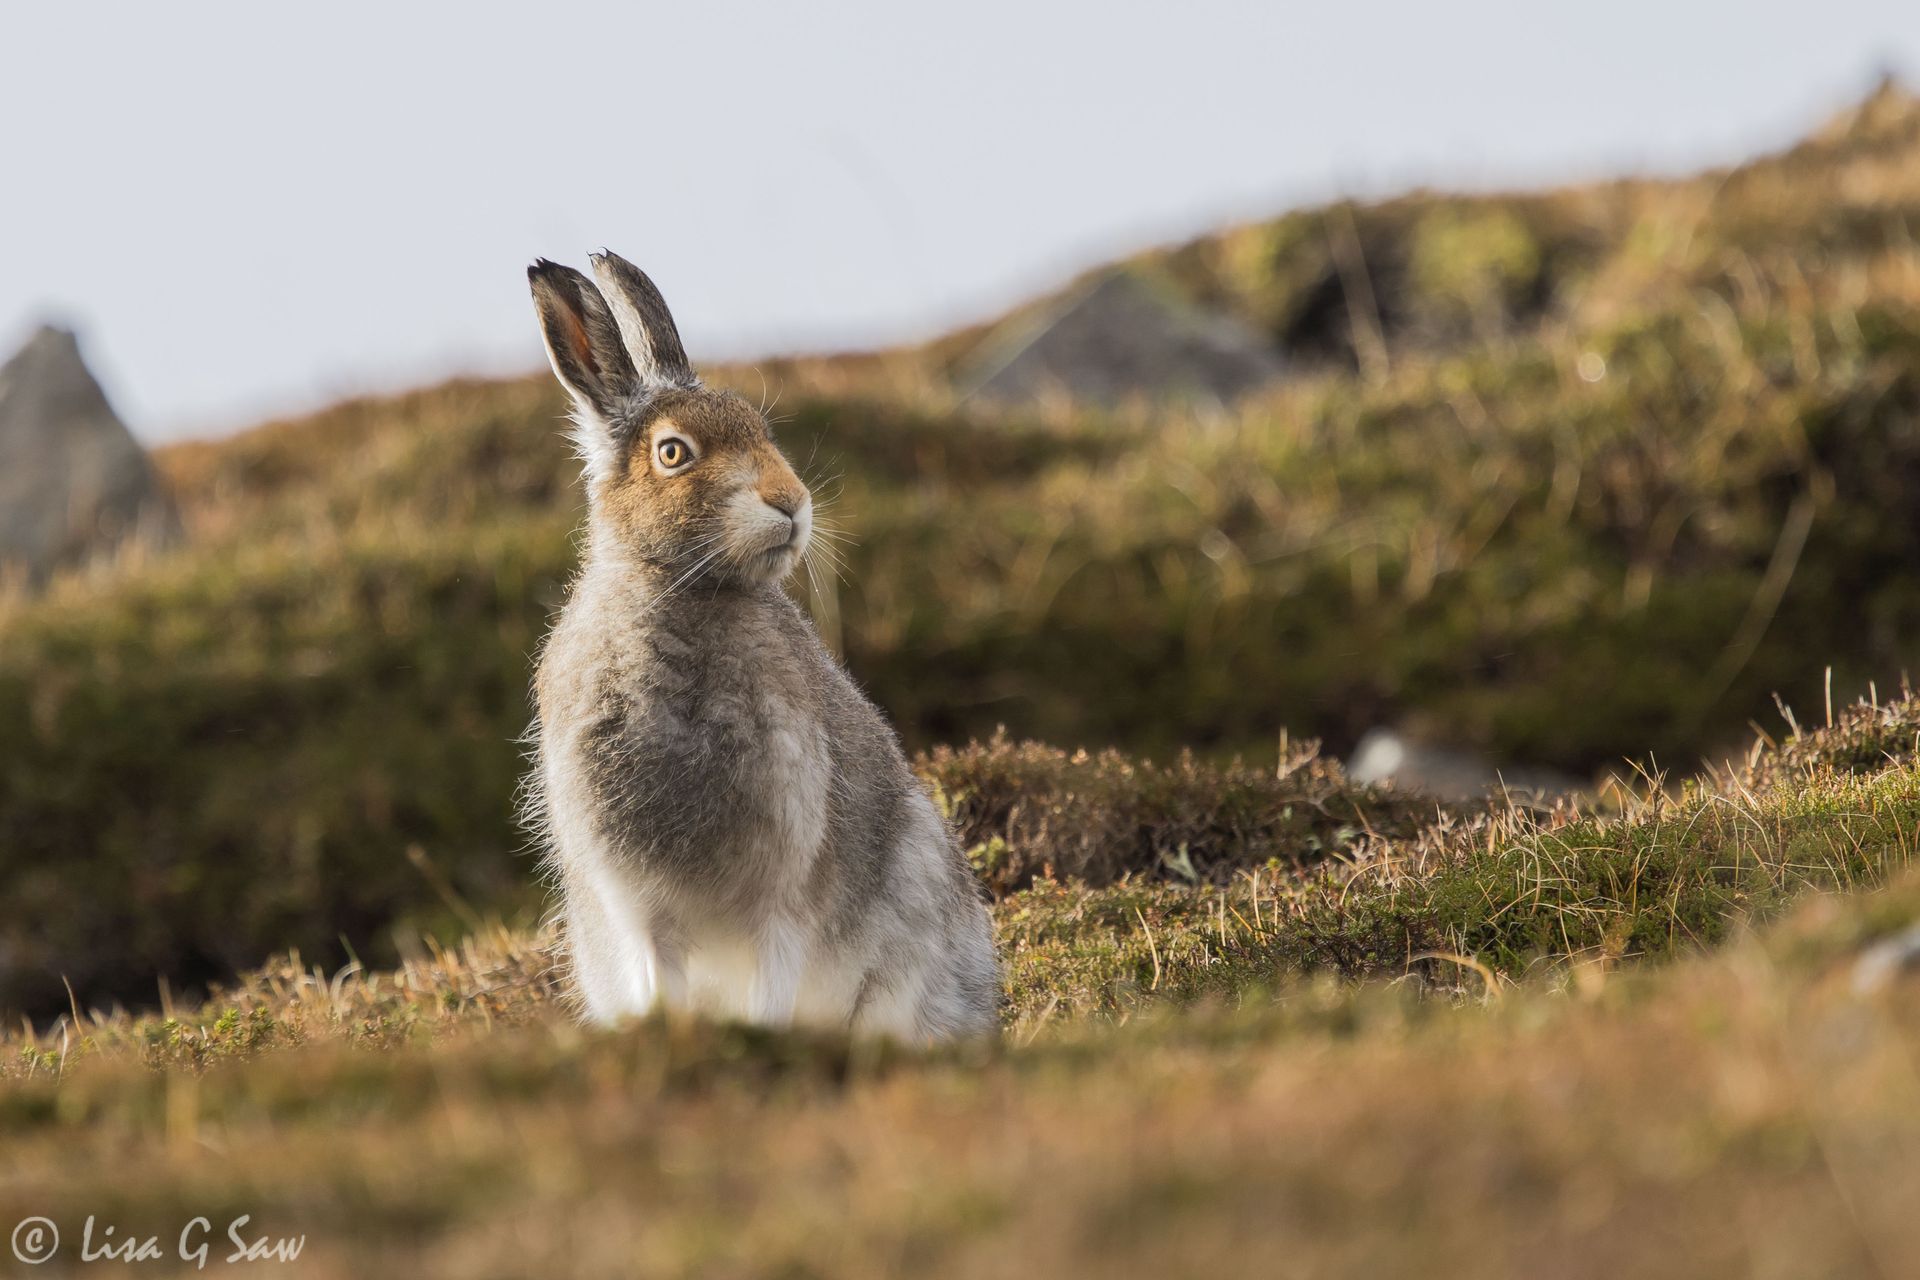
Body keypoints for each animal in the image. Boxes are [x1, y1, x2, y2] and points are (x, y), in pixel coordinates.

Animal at [521, 251, 1000, 1042]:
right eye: (673, 453)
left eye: (760, 428)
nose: (792, 502)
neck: (683, 593)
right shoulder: (641, 909)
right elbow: (661, 979)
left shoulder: (783, 896)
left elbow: (773, 981)